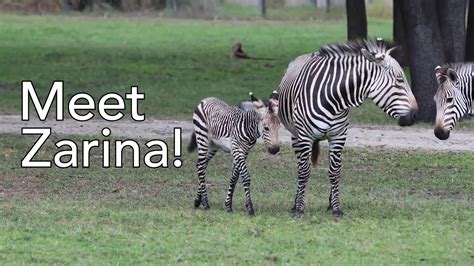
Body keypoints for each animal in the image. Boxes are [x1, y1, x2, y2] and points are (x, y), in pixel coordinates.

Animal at [278, 39, 418, 218]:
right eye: (399, 80)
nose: (415, 115)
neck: (333, 98)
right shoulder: (304, 137)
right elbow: (304, 171)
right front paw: (299, 208)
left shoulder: (339, 136)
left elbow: (335, 172)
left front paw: (336, 207)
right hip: (295, 135)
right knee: (300, 166)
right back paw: (295, 203)